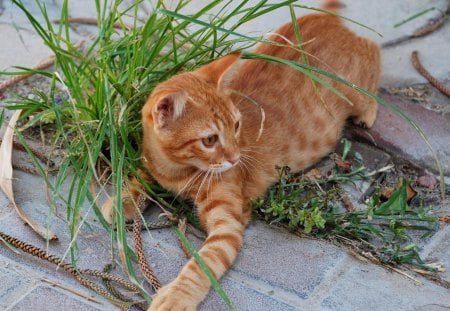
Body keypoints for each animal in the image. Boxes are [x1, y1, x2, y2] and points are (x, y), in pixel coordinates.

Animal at [102, 1, 380, 310]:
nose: (236, 158)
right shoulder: (152, 164)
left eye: (236, 126)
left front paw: (177, 295)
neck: (178, 172)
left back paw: (369, 110)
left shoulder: (227, 226)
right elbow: (139, 175)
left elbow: (201, 265)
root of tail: (327, 19)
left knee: (374, 56)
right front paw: (122, 201)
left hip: (356, 89)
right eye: (210, 140)